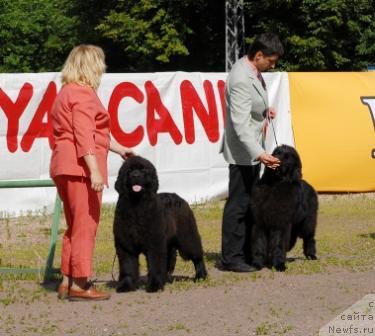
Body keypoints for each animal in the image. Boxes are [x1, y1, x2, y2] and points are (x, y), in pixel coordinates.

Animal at [114, 155, 209, 292]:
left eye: (143, 170)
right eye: (129, 170)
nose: (136, 175)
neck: (137, 206)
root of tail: (180, 198)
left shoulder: (155, 243)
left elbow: (155, 263)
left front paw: (154, 285)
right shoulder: (126, 245)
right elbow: (128, 266)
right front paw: (126, 285)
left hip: (186, 237)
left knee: (197, 255)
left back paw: (200, 275)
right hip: (169, 241)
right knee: (169, 259)